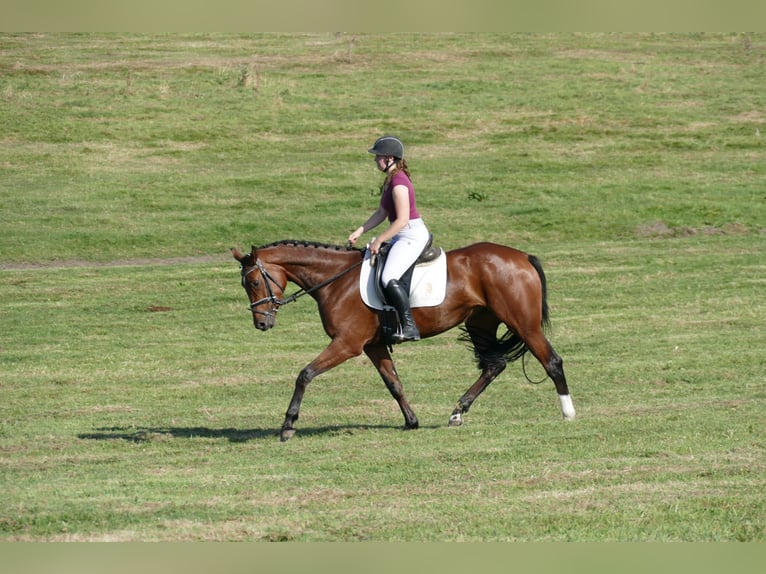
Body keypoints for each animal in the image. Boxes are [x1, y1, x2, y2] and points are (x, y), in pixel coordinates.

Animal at [232, 241, 576, 444]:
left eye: (253, 281)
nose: (261, 323)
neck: (337, 279)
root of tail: (521, 256)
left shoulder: (347, 344)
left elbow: (304, 374)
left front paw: (288, 425)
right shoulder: (373, 346)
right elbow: (393, 382)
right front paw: (411, 421)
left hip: (523, 323)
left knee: (551, 361)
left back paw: (568, 413)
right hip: (481, 322)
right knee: (494, 365)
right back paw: (457, 412)